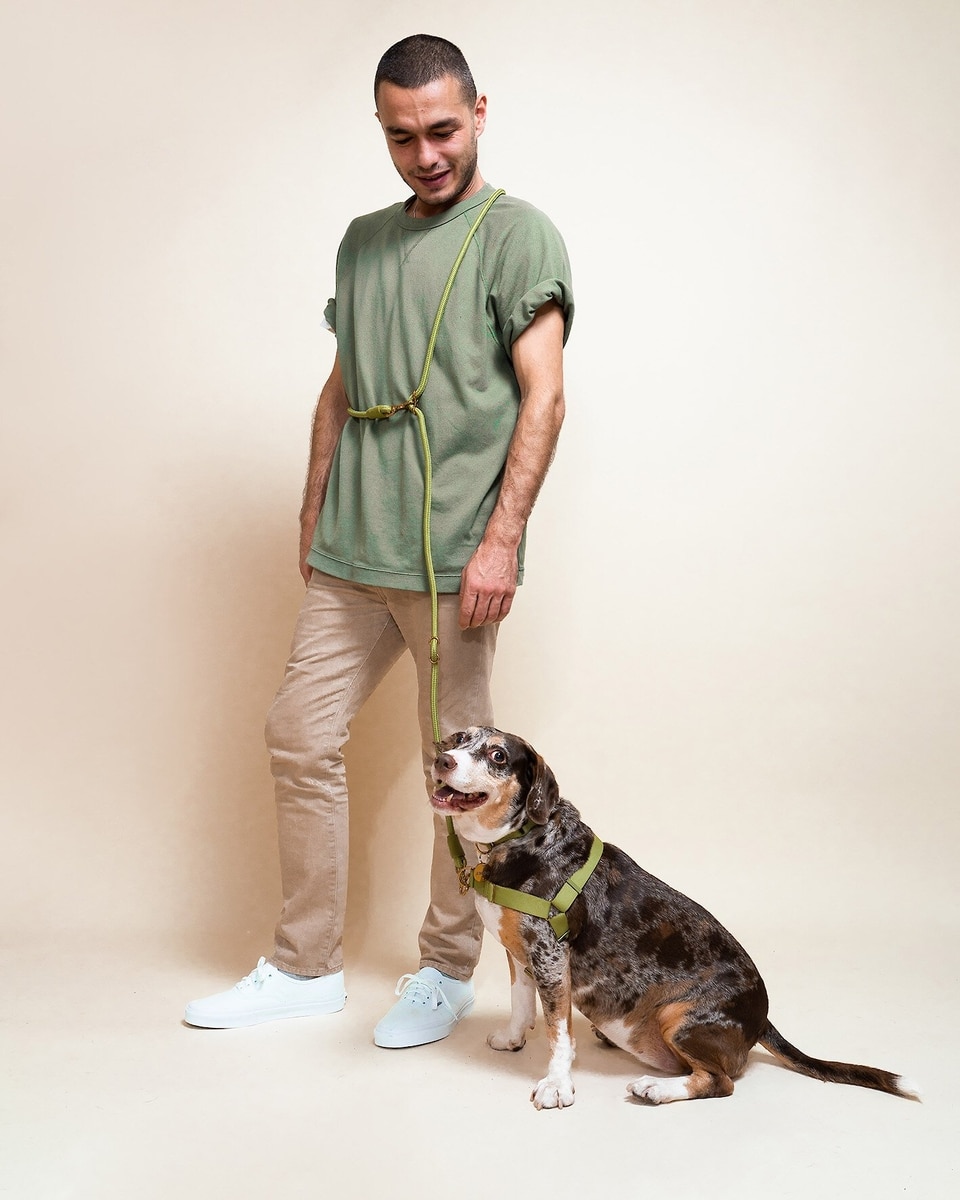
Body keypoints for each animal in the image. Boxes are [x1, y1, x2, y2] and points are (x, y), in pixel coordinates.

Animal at [430, 726, 919, 1110]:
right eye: (458, 738)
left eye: (498, 755)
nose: (441, 758)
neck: (523, 840)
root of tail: (762, 1019)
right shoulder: (519, 953)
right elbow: (521, 1003)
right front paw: (513, 1038)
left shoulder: (550, 955)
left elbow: (558, 1031)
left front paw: (556, 1082)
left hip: (679, 1020)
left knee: (720, 1081)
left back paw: (658, 1088)